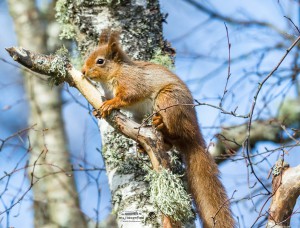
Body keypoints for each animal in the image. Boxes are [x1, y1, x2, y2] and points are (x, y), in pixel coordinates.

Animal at [81, 29, 234, 226]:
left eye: (100, 61)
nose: (83, 71)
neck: (114, 73)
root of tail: (194, 134)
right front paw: (97, 108)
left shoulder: (132, 82)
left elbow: (128, 96)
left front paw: (110, 104)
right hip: (141, 116)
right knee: (169, 143)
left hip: (167, 100)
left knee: (176, 132)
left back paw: (162, 125)